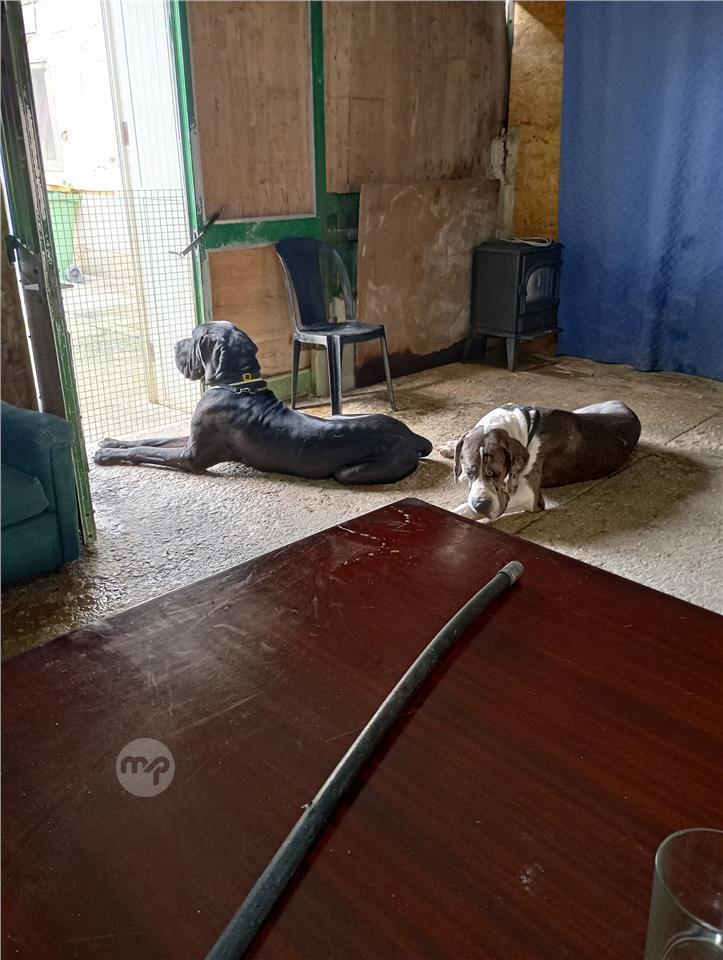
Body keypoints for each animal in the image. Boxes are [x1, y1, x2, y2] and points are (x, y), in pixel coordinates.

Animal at [94, 321, 432, 484]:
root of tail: (412, 436)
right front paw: (110, 442)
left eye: (194, 336)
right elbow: (151, 439)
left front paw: (106, 456)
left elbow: (147, 451)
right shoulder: (191, 438)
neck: (237, 385)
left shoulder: (192, 456)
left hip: (348, 472)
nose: (175, 345)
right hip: (339, 417)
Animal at [440, 401, 641, 520]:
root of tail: (625, 406)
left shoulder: (529, 495)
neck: (525, 426)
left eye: (496, 473)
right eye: (469, 472)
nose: (481, 505)